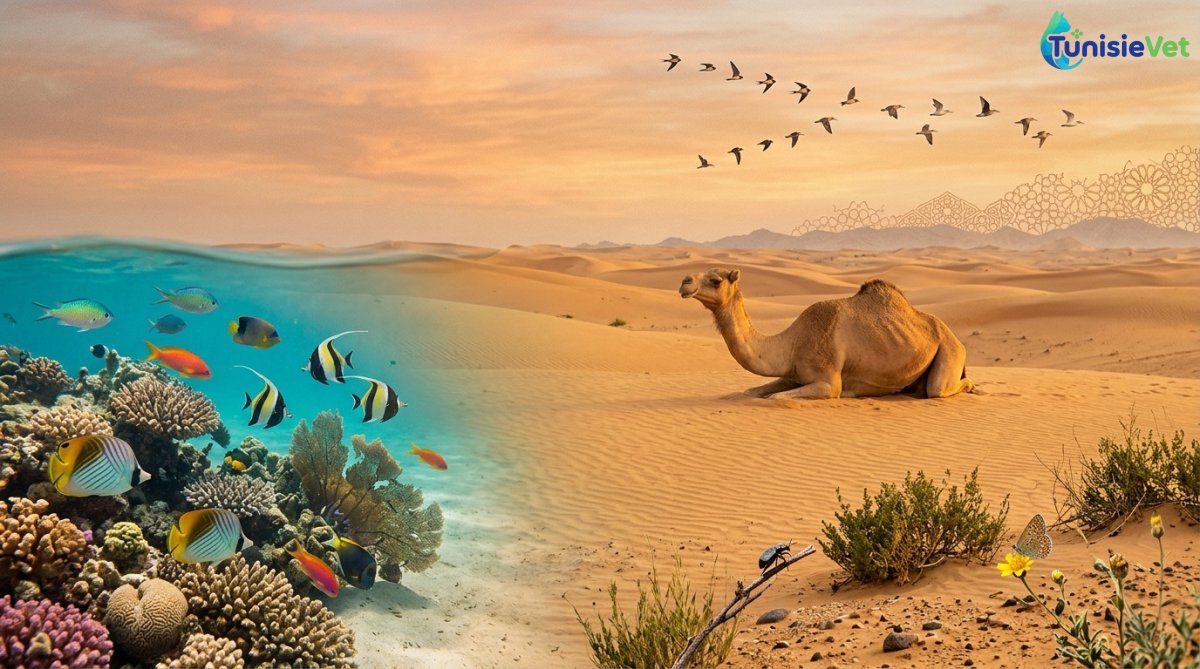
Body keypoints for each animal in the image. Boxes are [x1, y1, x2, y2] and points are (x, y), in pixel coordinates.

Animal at [679, 268, 974, 400]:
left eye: (716, 280)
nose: (685, 281)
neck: (793, 343)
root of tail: (955, 338)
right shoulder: (792, 374)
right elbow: (752, 391)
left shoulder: (828, 381)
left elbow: (777, 398)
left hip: (949, 350)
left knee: (938, 389)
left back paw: (971, 385)